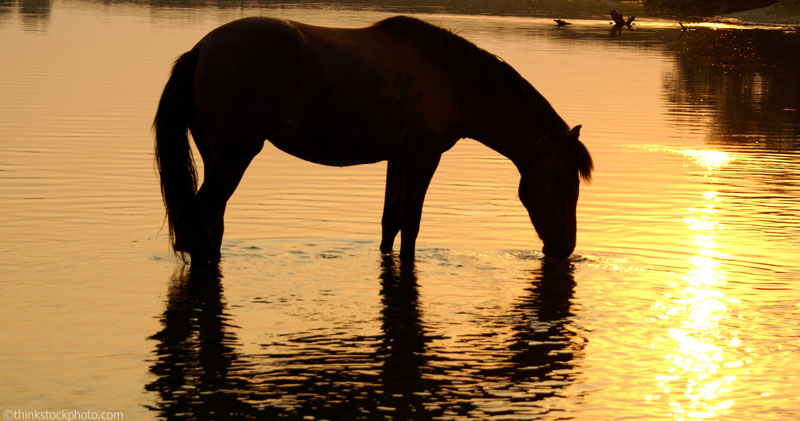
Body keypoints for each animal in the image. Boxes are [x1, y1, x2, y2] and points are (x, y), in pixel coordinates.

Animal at [156, 17, 592, 266]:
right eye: (566, 184)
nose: (564, 249)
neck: (455, 80)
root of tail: (201, 49)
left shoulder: (397, 159)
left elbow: (389, 223)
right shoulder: (423, 158)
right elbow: (411, 225)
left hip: (217, 157)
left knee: (212, 223)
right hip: (235, 156)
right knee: (199, 219)